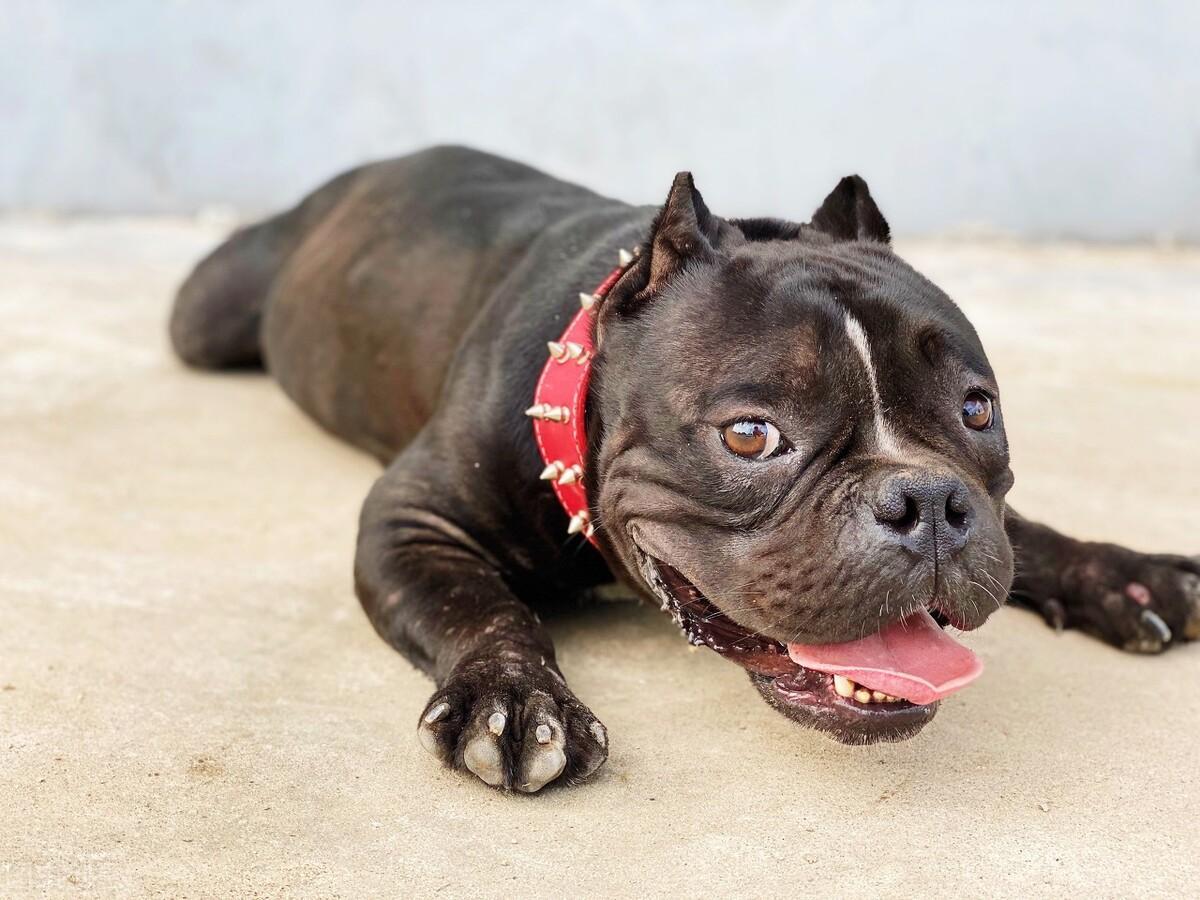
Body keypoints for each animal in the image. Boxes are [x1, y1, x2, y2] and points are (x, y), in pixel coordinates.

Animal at [170, 146, 1200, 792]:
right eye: (749, 437)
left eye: (976, 412)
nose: (930, 501)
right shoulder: (412, 519)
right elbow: (481, 607)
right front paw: (513, 699)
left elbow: (1029, 534)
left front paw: (1130, 576)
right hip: (201, 322)